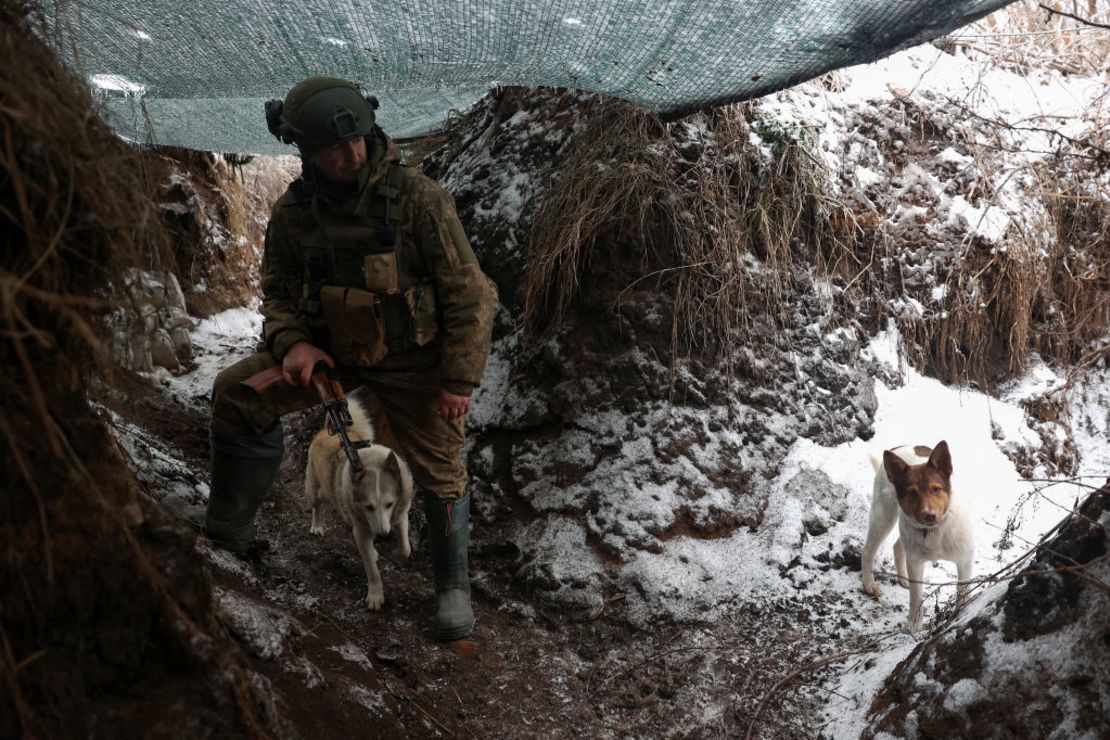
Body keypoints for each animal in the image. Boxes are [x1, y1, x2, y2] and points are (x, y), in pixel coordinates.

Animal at [304, 397, 412, 612]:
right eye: (368, 507)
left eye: (389, 504)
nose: (384, 534)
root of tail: (325, 430)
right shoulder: (362, 529)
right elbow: (372, 570)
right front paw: (375, 596)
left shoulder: (400, 515)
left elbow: (406, 548)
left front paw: (396, 551)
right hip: (318, 490)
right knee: (317, 505)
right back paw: (317, 526)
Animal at [861, 443, 976, 634]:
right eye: (912, 493)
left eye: (936, 489)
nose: (929, 515)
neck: (934, 531)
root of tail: (898, 447)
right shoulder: (915, 562)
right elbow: (916, 596)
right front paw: (914, 623)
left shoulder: (965, 560)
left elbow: (963, 589)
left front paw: (961, 612)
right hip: (883, 516)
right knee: (868, 550)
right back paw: (869, 584)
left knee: (897, 547)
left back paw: (902, 578)